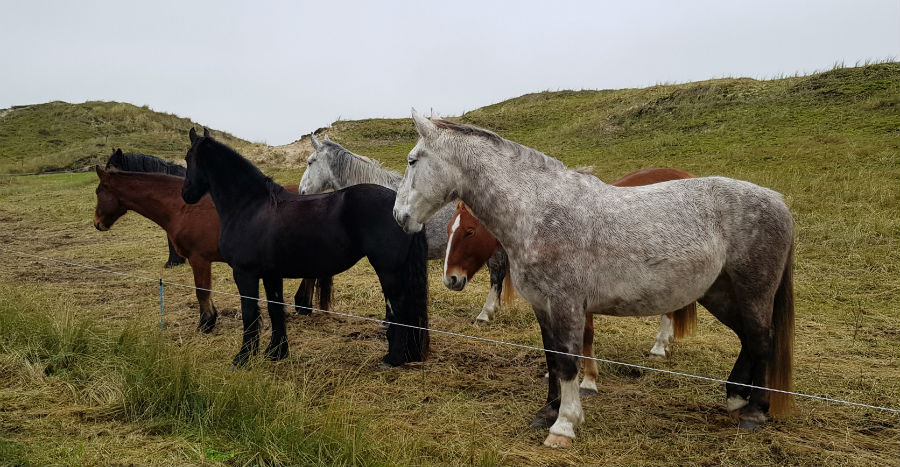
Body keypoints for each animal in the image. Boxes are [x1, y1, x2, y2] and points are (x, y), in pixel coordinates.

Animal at [93, 156, 319, 334]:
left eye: (98, 192)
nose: (97, 223)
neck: (182, 207)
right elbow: (206, 291)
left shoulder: (198, 259)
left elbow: (201, 291)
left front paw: (206, 323)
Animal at [182, 128, 430, 368]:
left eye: (188, 158)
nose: (186, 194)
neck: (251, 206)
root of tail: (400, 209)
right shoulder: (271, 275)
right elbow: (275, 309)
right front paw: (276, 353)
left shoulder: (245, 274)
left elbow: (249, 314)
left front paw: (243, 359)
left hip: (388, 270)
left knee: (399, 309)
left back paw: (393, 359)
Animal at [443, 168, 699, 394]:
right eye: (448, 229)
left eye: (469, 231)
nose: (450, 279)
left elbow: (586, 334)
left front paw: (589, 380)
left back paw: (659, 347)